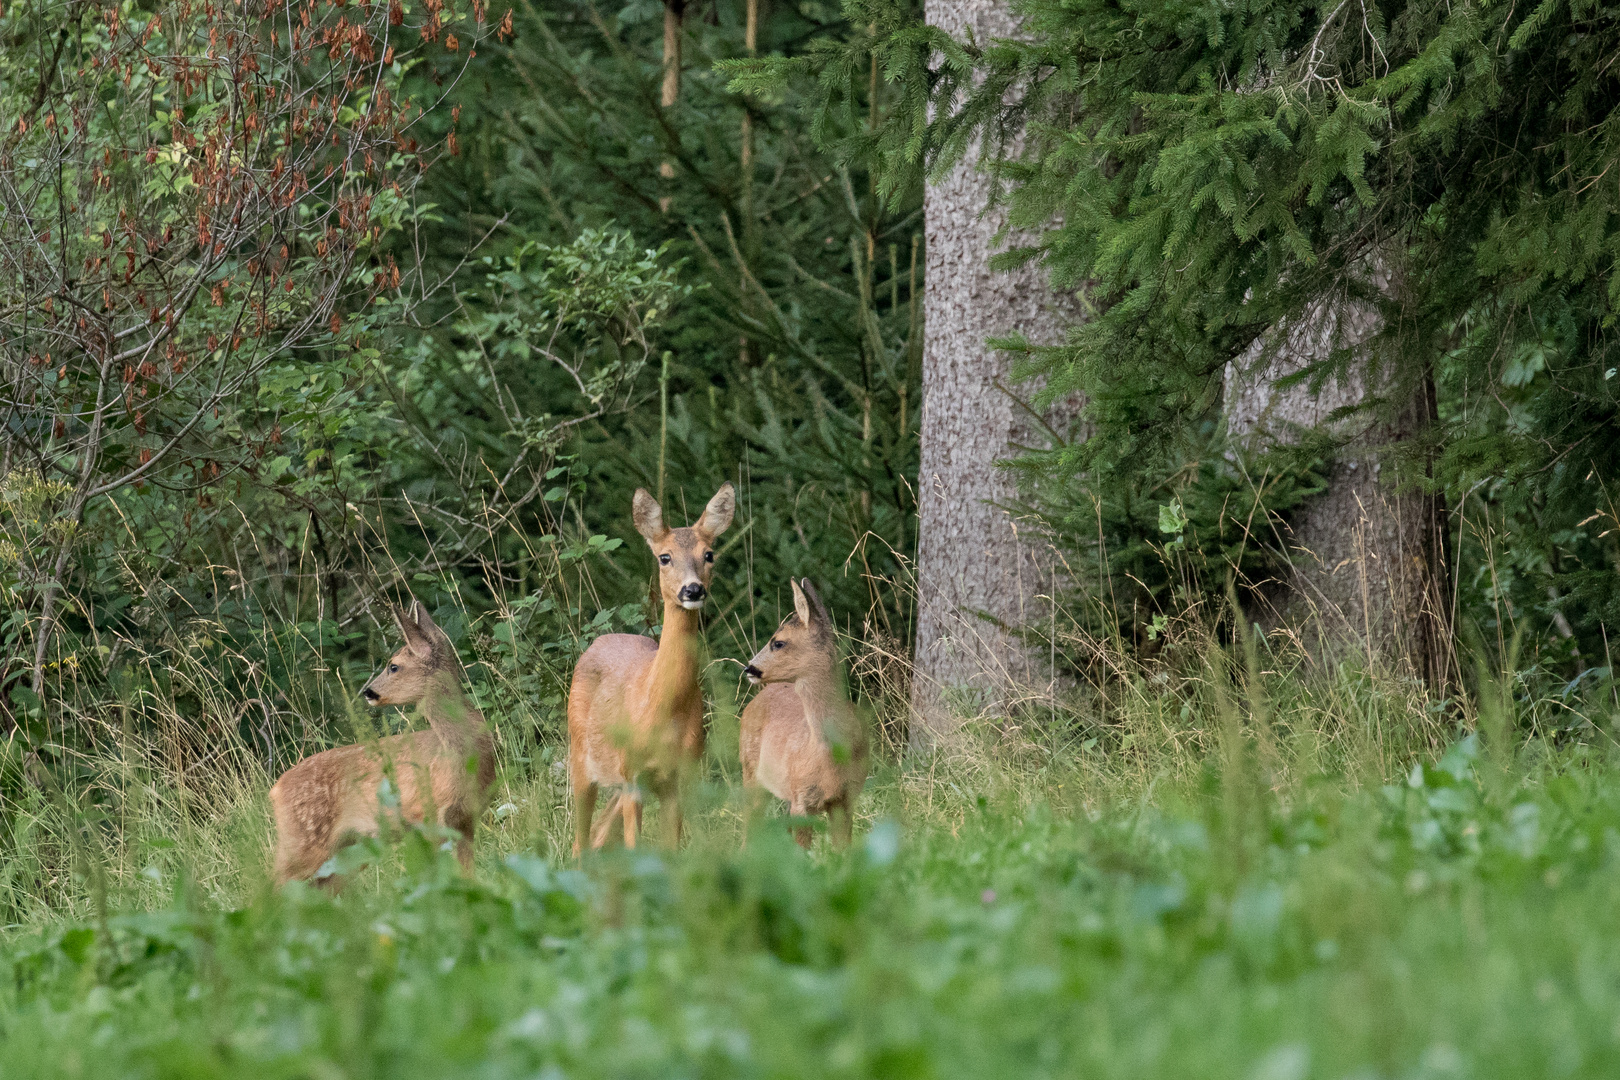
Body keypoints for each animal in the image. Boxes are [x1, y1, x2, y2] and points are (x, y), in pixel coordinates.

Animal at [268, 599, 495, 887]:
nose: (368, 692)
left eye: (394, 666)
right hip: (302, 844)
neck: (459, 756)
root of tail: (275, 789)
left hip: (345, 852)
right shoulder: (425, 818)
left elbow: (468, 879)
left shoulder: (465, 821)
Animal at [570, 482, 735, 854]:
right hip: (580, 757)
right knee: (580, 839)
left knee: (599, 832)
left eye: (709, 554)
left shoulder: (680, 778)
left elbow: (669, 853)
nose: (693, 589)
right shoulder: (633, 777)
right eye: (665, 557)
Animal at [741, 579, 868, 848]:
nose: (749, 668)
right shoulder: (802, 798)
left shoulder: (846, 798)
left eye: (778, 642)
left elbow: (845, 850)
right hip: (750, 771)